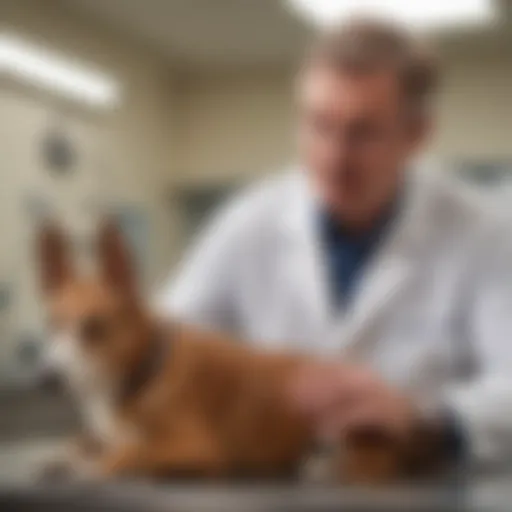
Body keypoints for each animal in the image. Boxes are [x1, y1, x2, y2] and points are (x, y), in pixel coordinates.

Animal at [36, 220, 426, 484]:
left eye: (94, 327)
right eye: (52, 323)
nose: (47, 378)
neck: (145, 370)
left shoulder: (195, 446)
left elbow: (127, 454)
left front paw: (91, 466)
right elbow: (87, 443)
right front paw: (64, 453)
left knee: (372, 462)